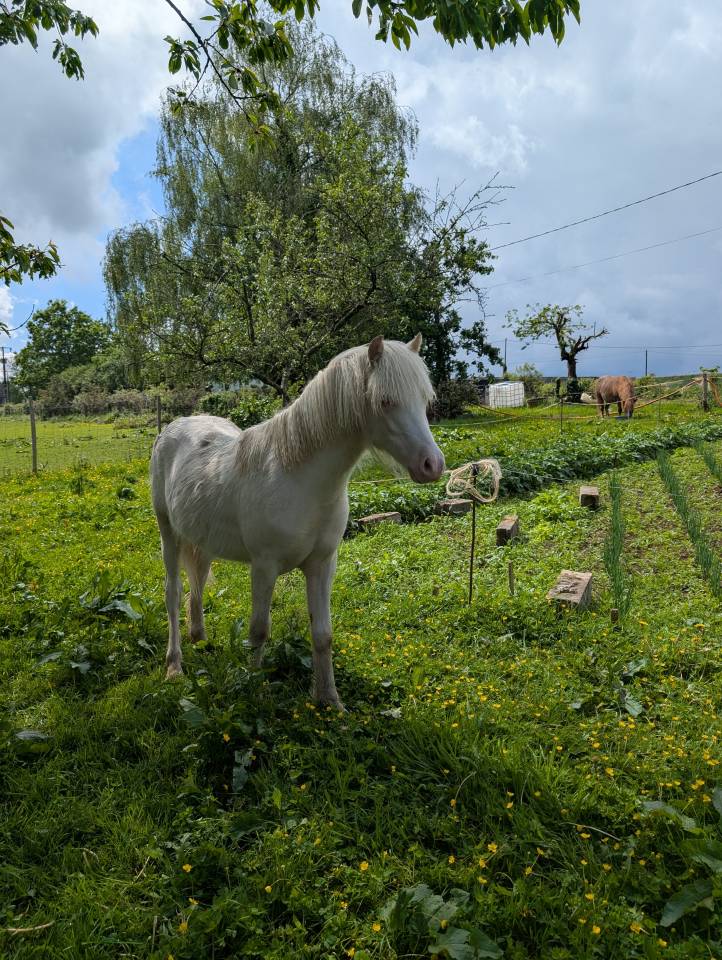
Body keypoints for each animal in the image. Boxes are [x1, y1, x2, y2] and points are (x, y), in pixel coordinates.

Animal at [150, 335, 445, 709]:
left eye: (424, 398)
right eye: (385, 401)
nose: (432, 465)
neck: (300, 477)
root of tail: (173, 427)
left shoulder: (322, 564)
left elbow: (323, 634)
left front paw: (329, 700)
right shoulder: (264, 566)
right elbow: (258, 630)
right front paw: (254, 687)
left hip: (200, 540)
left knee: (198, 583)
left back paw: (200, 639)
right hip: (168, 533)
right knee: (173, 593)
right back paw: (174, 665)